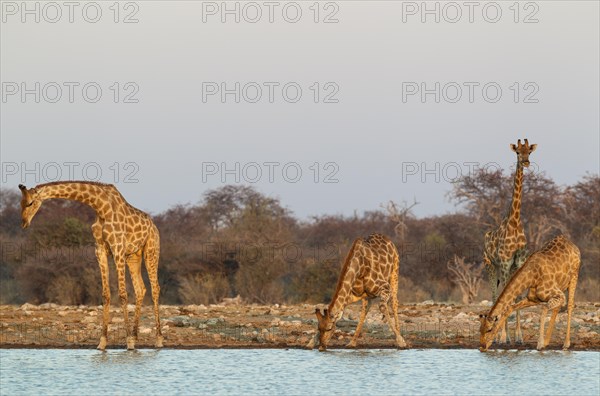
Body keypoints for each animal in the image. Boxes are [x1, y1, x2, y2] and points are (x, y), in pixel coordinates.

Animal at [19, 181, 164, 352]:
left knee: (155, 288)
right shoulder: (100, 250)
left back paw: (158, 339)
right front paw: (102, 342)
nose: (24, 223)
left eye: (30, 203)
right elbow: (105, 294)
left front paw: (128, 342)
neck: (100, 206)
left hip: (151, 250)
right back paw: (136, 337)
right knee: (140, 289)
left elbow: (122, 294)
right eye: (21, 203)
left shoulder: (118, 248)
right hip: (133, 256)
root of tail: (154, 227)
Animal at [480, 138, 536, 342]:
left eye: (529, 151)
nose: (526, 162)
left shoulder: (518, 263)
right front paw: (503, 337)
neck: (515, 222)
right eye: (518, 152)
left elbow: (515, 297)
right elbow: (503, 295)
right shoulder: (504, 263)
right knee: (495, 294)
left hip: (506, 268)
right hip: (490, 265)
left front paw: (518, 336)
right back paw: (497, 335)